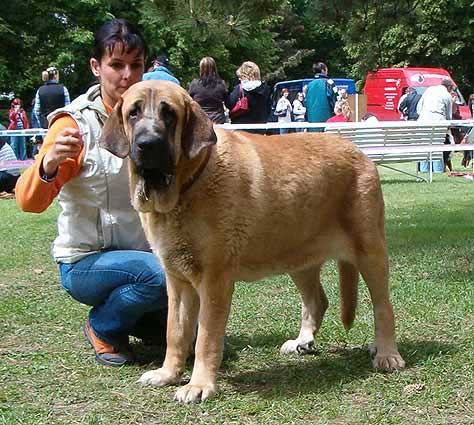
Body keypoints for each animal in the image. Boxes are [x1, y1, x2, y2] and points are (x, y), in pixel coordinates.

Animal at [100, 81, 404, 402]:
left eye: (168, 114)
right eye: (133, 113)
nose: (147, 144)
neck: (189, 183)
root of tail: (359, 152)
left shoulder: (214, 281)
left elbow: (205, 337)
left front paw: (199, 385)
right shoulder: (178, 282)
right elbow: (176, 332)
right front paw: (168, 374)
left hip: (370, 251)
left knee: (383, 305)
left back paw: (386, 353)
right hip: (298, 257)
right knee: (317, 300)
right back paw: (303, 340)